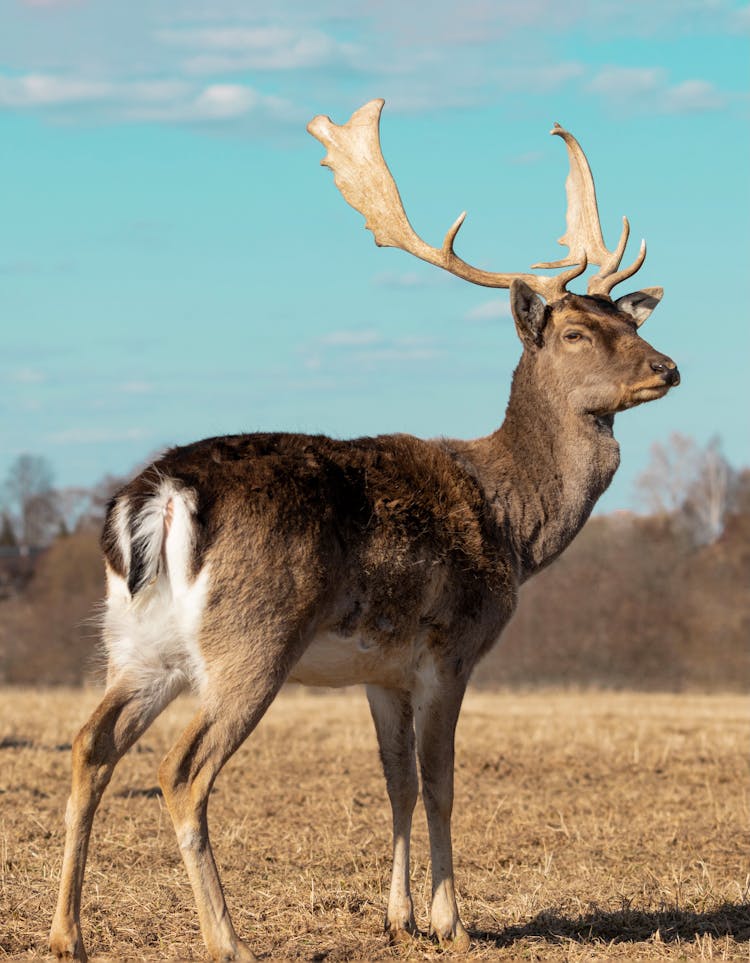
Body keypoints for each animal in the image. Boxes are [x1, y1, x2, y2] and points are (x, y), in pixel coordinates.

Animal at [48, 101, 680, 960]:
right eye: (577, 332)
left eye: (626, 316)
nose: (668, 367)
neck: (513, 523)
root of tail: (161, 494)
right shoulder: (451, 644)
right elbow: (441, 779)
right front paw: (452, 921)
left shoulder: (382, 670)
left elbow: (396, 780)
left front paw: (399, 916)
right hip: (252, 637)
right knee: (181, 768)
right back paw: (227, 937)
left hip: (138, 644)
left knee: (90, 744)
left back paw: (66, 932)